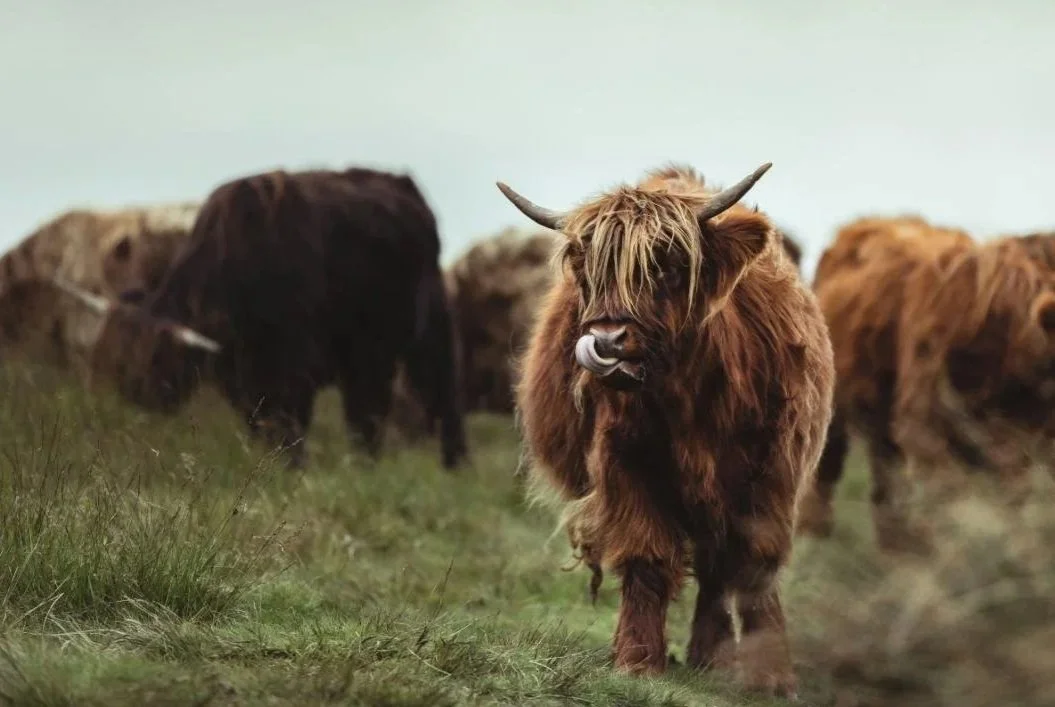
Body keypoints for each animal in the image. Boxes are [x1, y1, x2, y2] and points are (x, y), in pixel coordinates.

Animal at [55, 167, 468, 470]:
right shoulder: (242, 374)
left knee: (432, 396)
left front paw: (293, 468)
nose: (121, 400)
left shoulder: (293, 365)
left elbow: (291, 423)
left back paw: (447, 465)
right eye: (107, 352)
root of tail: (401, 182)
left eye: (153, 358)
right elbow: (260, 421)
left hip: (423, 333)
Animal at [498, 161, 834, 699]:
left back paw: (711, 658)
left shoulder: (773, 470)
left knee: (719, 566)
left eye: (667, 265)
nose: (608, 339)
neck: (691, 396)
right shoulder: (625, 464)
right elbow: (647, 557)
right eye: (589, 271)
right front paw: (636, 660)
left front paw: (773, 676)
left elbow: (756, 563)